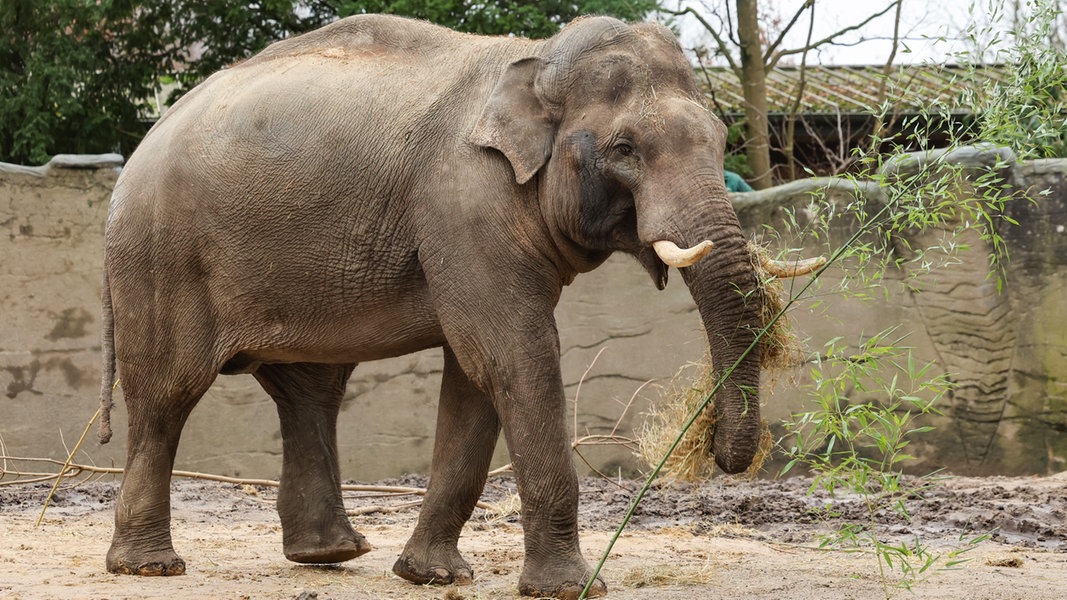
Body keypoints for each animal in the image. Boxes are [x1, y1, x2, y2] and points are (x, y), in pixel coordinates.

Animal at [100, 12, 785, 597]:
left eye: (721, 139)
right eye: (625, 150)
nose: (716, 451)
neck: (533, 65)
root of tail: (132, 160)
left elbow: (477, 377)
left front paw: (431, 576)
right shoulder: (467, 204)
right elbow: (514, 356)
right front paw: (570, 589)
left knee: (309, 390)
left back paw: (330, 555)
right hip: (161, 256)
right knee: (167, 394)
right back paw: (151, 567)